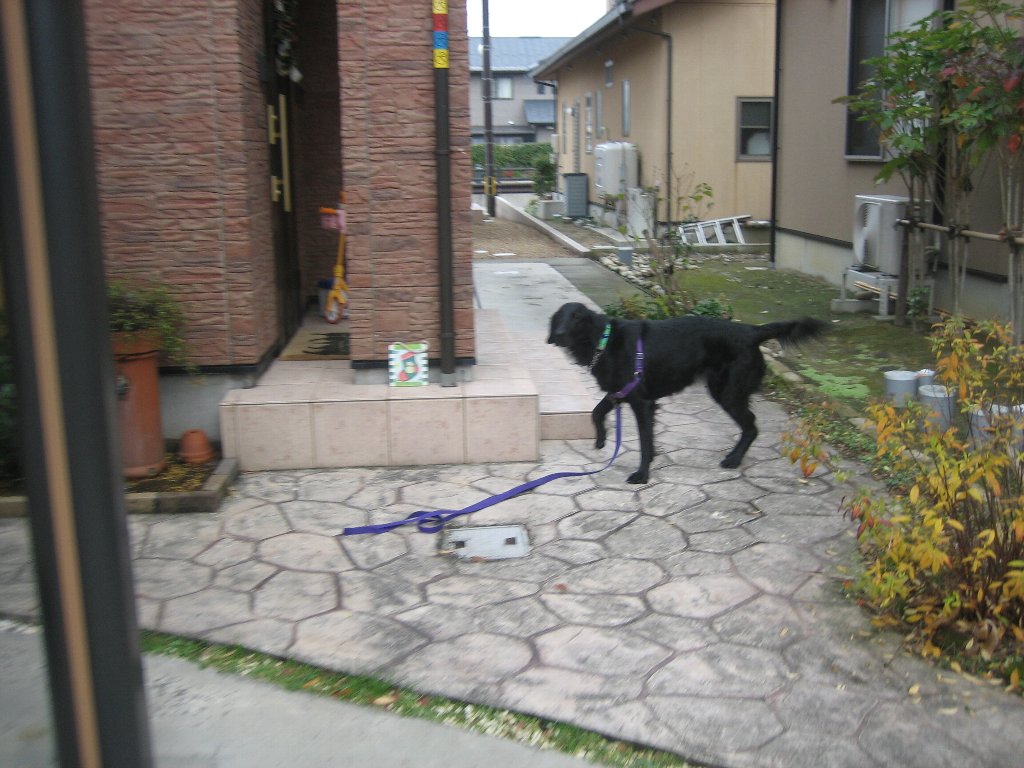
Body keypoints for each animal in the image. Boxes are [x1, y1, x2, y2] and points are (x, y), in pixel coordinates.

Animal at [547, 302, 826, 483]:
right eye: (560, 317)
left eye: (577, 318)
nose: (558, 334)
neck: (605, 341)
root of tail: (751, 330)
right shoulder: (620, 391)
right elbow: (596, 412)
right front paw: (601, 439)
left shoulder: (641, 401)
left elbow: (644, 442)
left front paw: (642, 474)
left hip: (727, 392)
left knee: (751, 426)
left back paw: (733, 460)